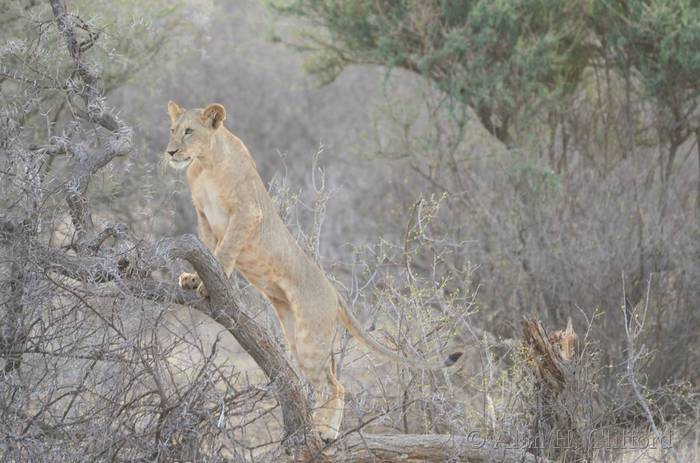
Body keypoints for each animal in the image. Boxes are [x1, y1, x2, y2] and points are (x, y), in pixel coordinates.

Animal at [161, 102, 462, 442]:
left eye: (189, 131)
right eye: (172, 129)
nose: (171, 151)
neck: (205, 164)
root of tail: (333, 290)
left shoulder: (247, 212)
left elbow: (224, 252)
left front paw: (209, 284)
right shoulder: (204, 217)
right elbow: (209, 251)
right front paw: (193, 278)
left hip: (311, 338)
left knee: (336, 386)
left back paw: (324, 433)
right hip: (295, 335)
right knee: (324, 385)